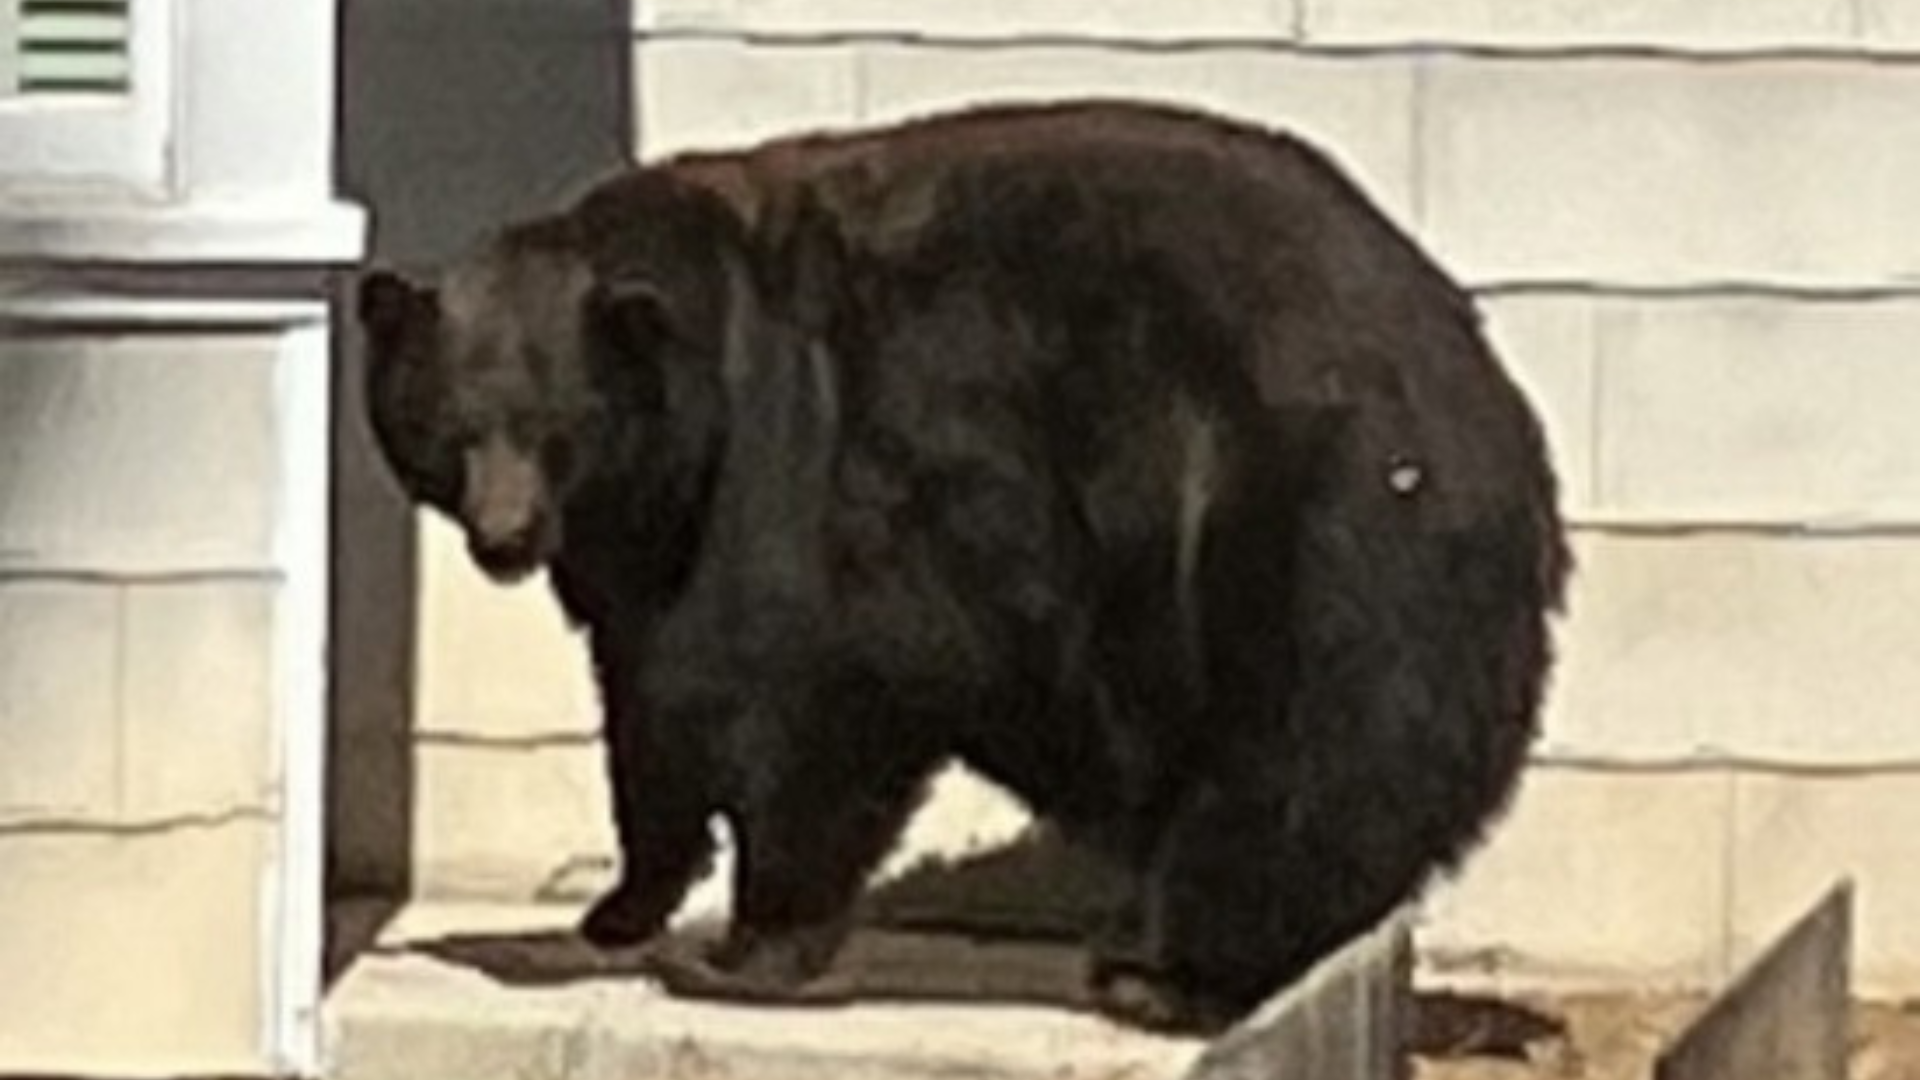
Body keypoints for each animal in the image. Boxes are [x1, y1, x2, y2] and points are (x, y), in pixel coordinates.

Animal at [357, 98, 1571, 1035]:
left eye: (559, 428)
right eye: (452, 427)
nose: (505, 538)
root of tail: (1491, 401)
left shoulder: (816, 473)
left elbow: (816, 700)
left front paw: (742, 949)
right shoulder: (644, 554)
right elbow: (651, 707)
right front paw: (620, 907)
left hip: (1300, 527)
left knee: (1300, 757)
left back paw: (1165, 972)